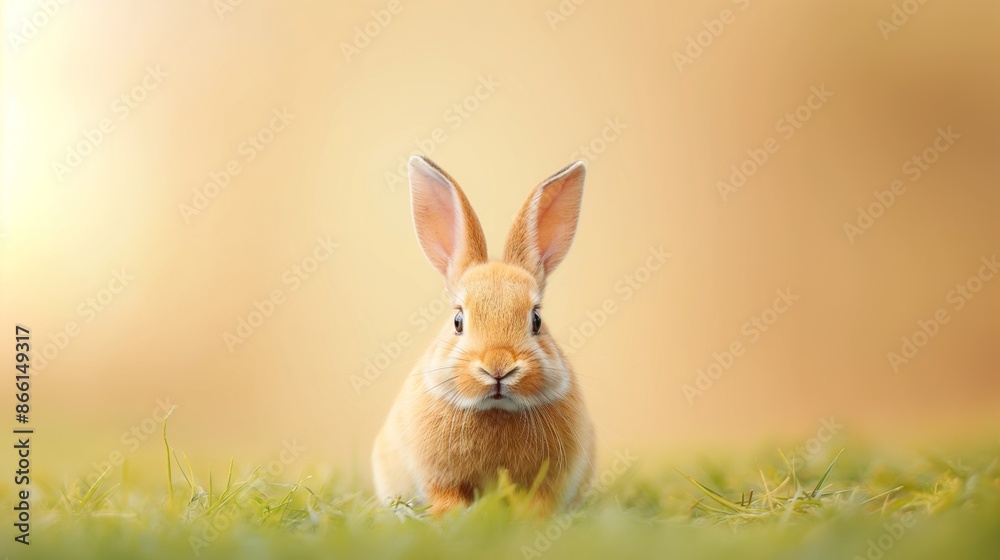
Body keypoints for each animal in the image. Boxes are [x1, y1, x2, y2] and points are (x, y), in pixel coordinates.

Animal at [372, 155, 596, 516]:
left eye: (536, 320)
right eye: (458, 321)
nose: (498, 366)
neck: (496, 409)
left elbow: (540, 500)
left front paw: (532, 518)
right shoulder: (438, 477)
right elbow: (446, 496)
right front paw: (449, 516)